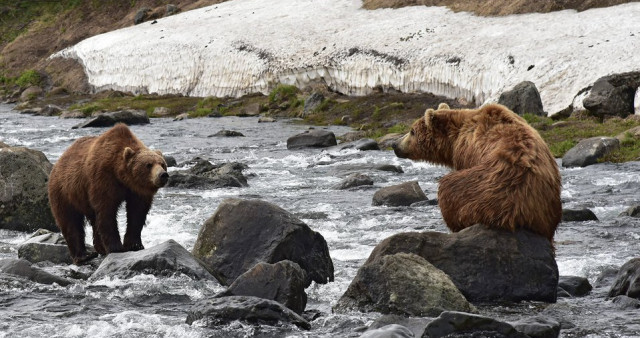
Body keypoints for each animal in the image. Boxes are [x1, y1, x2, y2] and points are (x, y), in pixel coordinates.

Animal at [48, 123, 169, 264]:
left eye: (162, 164)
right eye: (148, 165)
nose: (163, 175)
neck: (121, 175)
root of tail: (58, 162)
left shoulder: (137, 190)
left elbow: (137, 213)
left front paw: (134, 245)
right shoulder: (103, 179)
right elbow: (106, 211)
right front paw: (116, 247)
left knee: (93, 221)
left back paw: (99, 248)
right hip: (64, 191)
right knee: (70, 221)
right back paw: (83, 255)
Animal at [392, 103, 564, 243]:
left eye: (412, 131)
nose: (395, 144)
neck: (455, 138)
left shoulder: (467, 153)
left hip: (486, 189)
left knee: (448, 189)